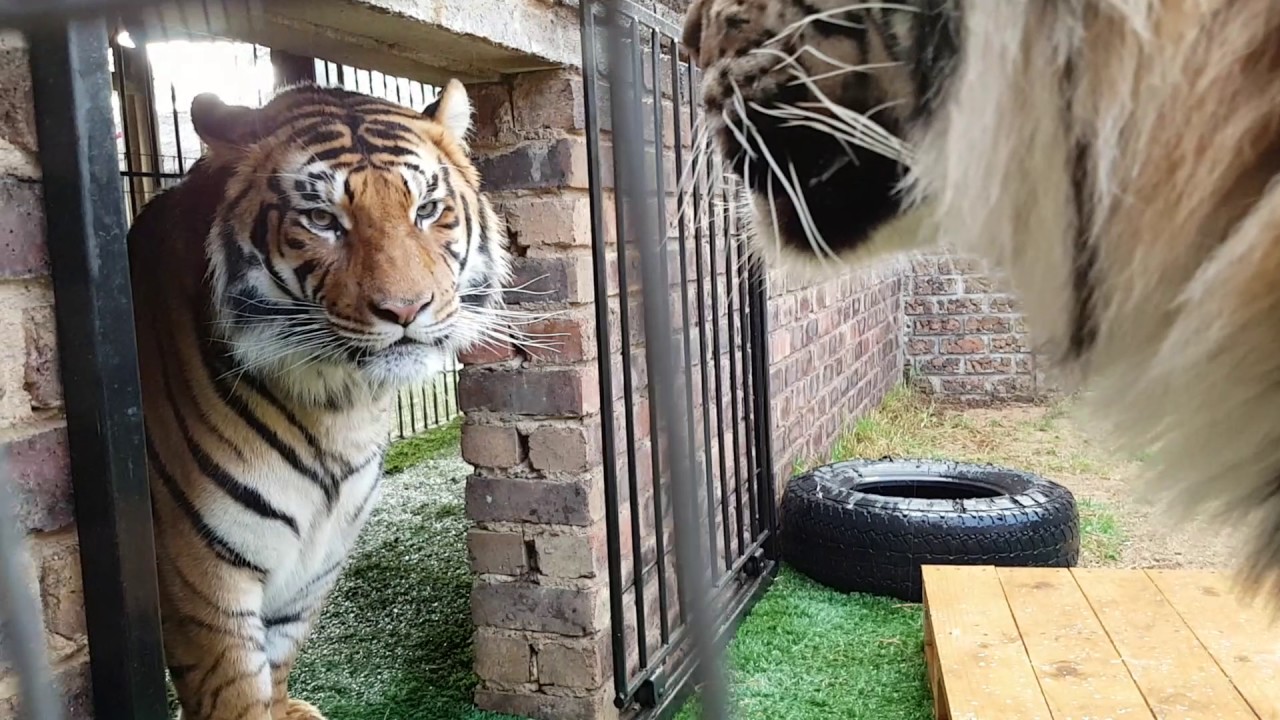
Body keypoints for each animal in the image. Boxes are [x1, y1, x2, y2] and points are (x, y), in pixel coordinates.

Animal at [126, 78, 511, 719]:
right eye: (322, 219)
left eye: (427, 210)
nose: (406, 310)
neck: (340, 405)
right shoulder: (200, 579)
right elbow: (237, 695)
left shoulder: (316, 559)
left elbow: (278, 660)